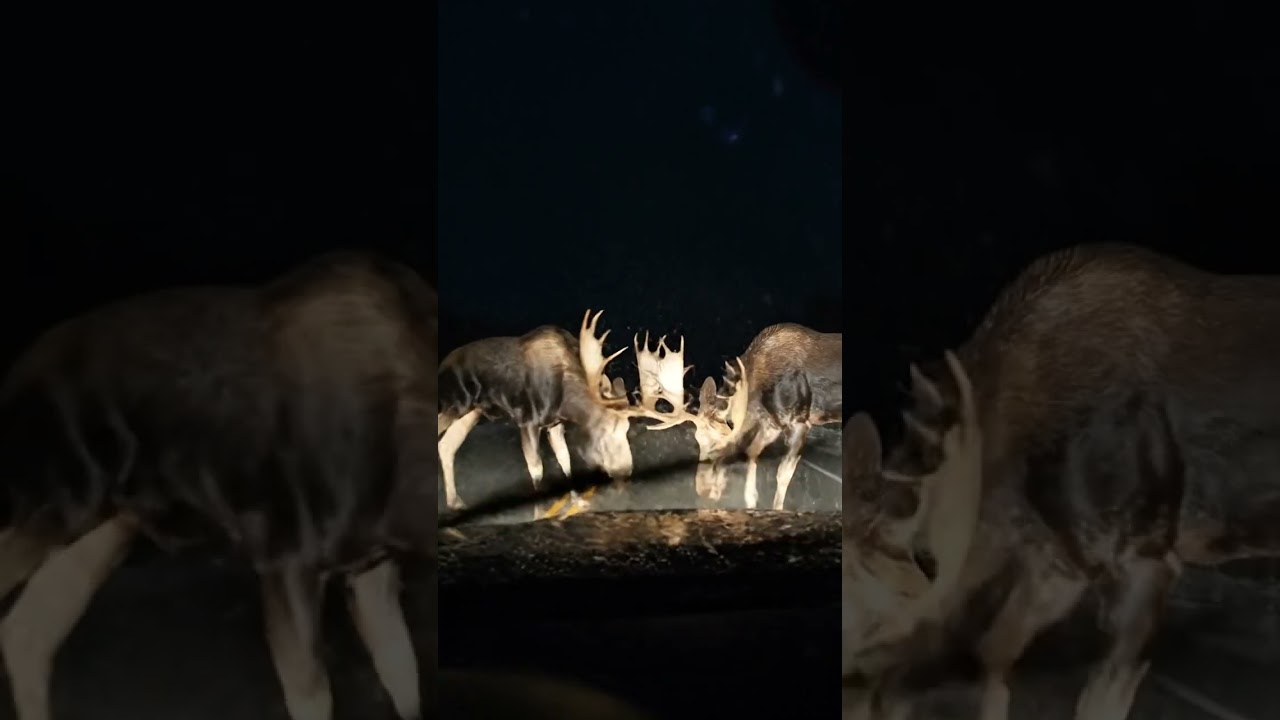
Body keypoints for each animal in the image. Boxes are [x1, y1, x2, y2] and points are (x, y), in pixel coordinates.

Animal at [0, 252, 436, 720]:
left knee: (28, 633)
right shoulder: (287, 559)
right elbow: (314, 695)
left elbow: (404, 676)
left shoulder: (373, 567)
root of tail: (14, 377)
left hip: (106, 528)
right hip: (55, 503)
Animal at [438, 309, 655, 518]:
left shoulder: (555, 424)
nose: (626, 471)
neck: (565, 400)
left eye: (626, 429)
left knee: (447, 445)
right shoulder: (527, 421)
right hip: (452, 405)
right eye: (604, 430)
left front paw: (577, 500)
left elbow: (565, 460)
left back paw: (455, 502)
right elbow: (537, 470)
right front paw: (539, 510)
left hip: (471, 413)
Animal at [647, 323, 842, 510]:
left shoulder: (799, 423)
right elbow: (752, 452)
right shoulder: (771, 425)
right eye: (698, 439)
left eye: (718, 441)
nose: (702, 489)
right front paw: (751, 499)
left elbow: (782, 475)